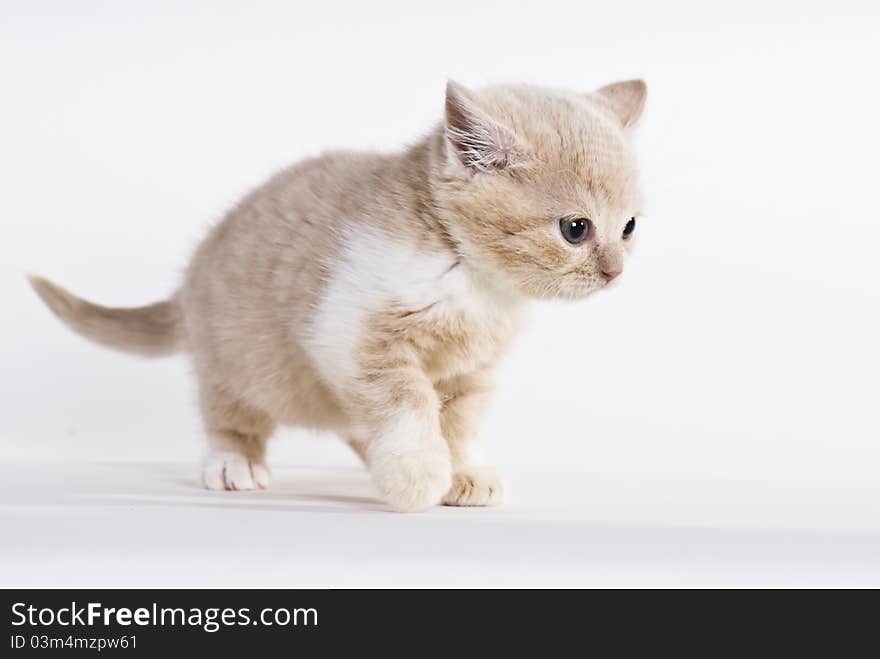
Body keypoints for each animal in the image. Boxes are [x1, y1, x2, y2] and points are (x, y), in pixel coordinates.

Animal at [29, 77, 648, 510]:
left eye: (629, 227)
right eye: (575, 229)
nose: (615, 272)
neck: (475, 281)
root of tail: (190, 278)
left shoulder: (473, 365)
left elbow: (461, 419)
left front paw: (464, 471)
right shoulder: (351, 330)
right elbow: (408, 402)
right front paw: (419, 473)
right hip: (236, 356)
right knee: (227, 410)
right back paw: (234, 463)